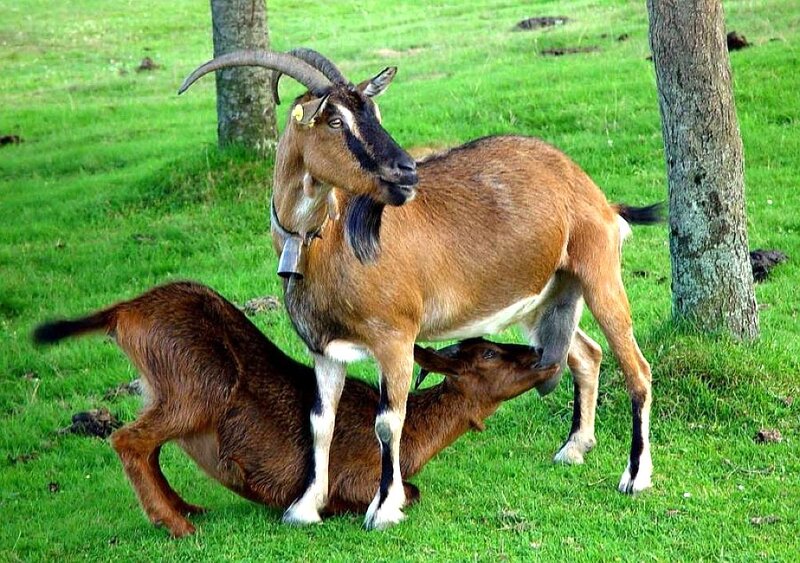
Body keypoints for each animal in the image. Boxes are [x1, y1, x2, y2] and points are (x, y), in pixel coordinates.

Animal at [33, 281, 559, 537]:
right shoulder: (359, 473)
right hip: (196, 386)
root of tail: (122, 312)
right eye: (488, 353)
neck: (417, 441)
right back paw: (179, 526)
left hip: (164, 388)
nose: (541, 355)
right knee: (126, 438)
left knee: (150, 446)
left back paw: (187, 508)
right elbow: (408, 492)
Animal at [179, 48, 662, 529]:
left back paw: (635, 477)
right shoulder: (324, 349)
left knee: (636, 367)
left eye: (374, 112)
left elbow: (389, 421)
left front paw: (384, 508)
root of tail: (592, 191)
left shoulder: (395, 338)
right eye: (334, 120)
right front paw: (305, 507)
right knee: (586, 355)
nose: (406, 170)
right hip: (543, 299)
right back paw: (574, 448)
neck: (327, 244)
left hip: (599, 274)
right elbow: (320, 422)